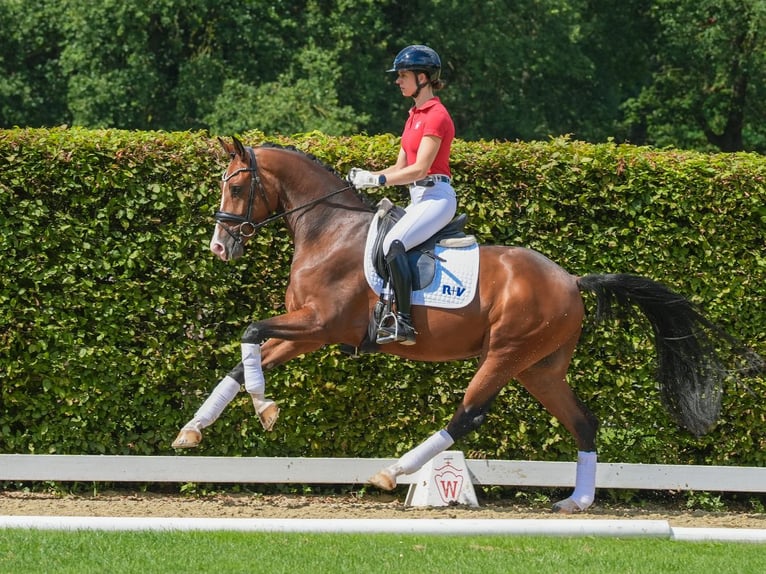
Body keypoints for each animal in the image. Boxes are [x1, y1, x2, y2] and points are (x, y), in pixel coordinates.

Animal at [171, 137, 764, 516]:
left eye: (236, 187)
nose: (219, 247)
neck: (329, 230)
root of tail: (572, 279)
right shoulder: (312, 332)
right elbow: (243, 356)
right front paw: (197, 428)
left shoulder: (318, 324)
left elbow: (249, 330)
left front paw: (264, 408)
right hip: (540, 368)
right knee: (583, 422)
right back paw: (577, 500)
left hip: (505, 353)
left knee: (469, 414)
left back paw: (394, 472)